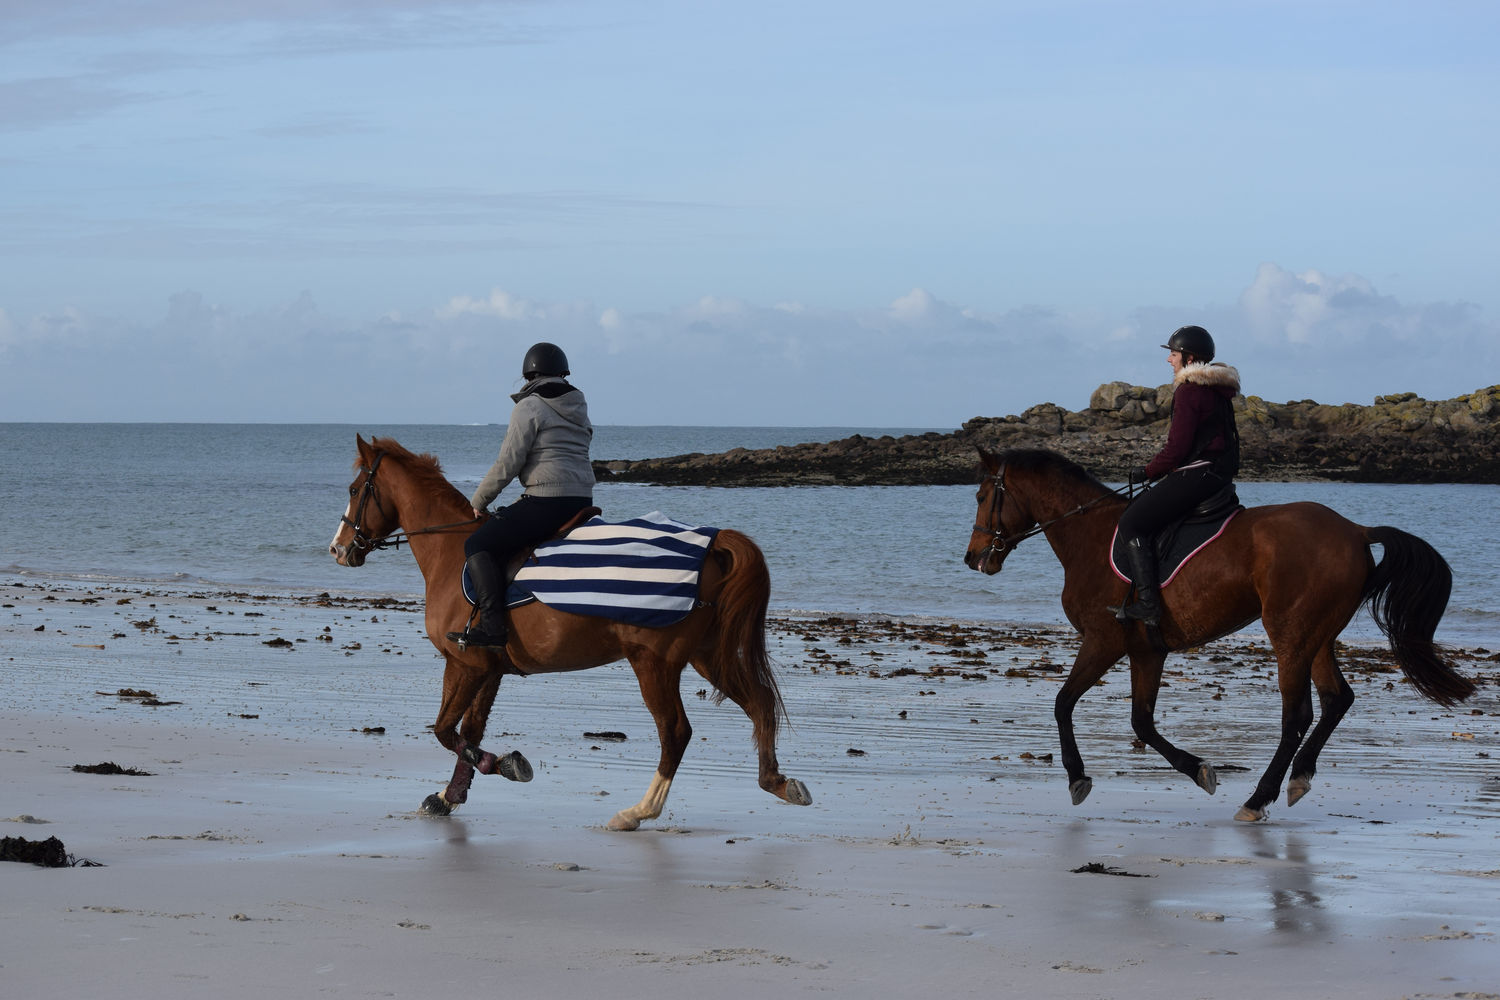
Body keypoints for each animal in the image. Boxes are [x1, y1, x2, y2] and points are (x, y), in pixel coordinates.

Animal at [325, 434, 810, 833]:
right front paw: (450, 796)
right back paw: (778, 782)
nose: (338, 549)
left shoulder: (464, 664)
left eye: (354, 490)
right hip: (707, 656)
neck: (451, 552)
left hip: (654, 663)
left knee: (676, 731)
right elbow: (470, 731)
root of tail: (712, 545)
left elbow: (446, 731)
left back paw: (638, 812)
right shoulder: (490, 669)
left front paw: (506, 764)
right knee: (759, 703)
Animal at [966, 446, 1470, 821]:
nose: (973, 558)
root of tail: (1356, 531)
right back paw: (1299, 777)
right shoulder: (1146, 651)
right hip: (1319, 636)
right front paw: (1199, 770)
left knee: (1297, 714)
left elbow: (1063, 703)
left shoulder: (1103, 641)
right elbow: (1142, 722)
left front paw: (1077, 778)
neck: (1088, 534)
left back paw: (1258, 798)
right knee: (1336, 700)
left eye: (981, 495)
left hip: (1290, 635)